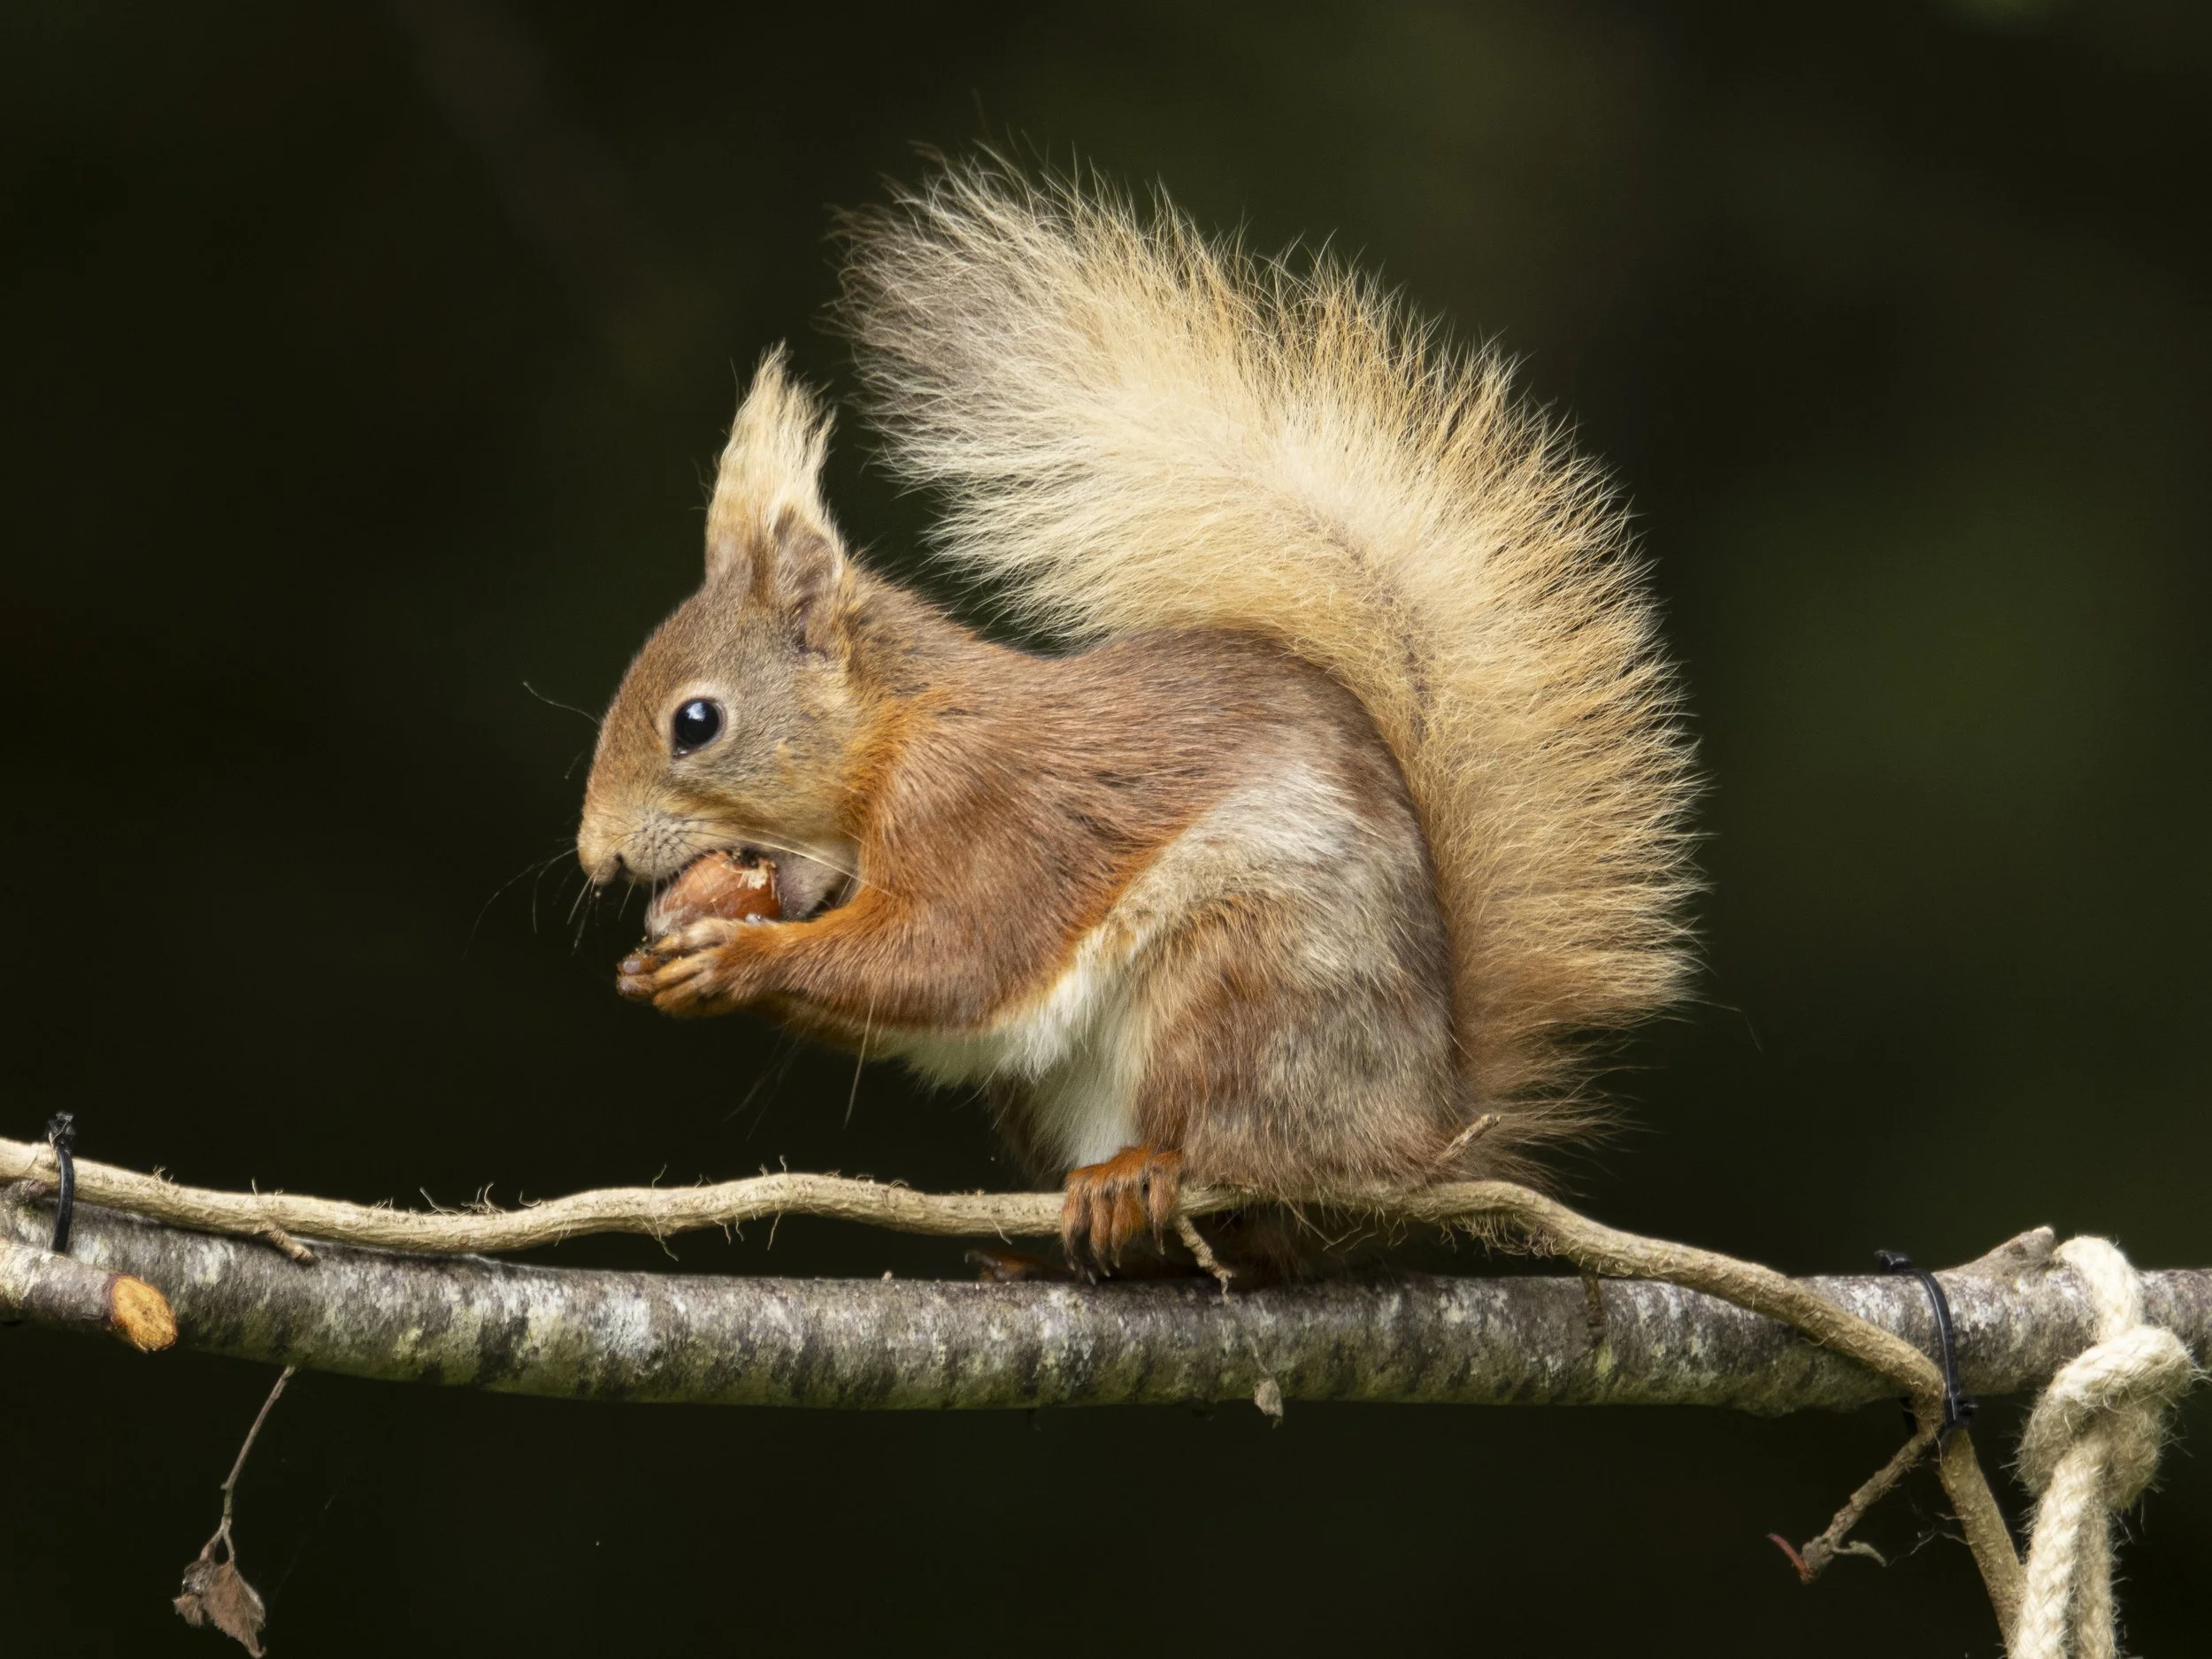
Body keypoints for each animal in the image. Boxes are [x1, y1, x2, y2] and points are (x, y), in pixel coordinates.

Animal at [576, 164, 1697, 1277]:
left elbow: (951, 956)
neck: (896, 728)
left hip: (1239, 980)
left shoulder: (984, 806)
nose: (595, 859)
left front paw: (732, 958)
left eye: (696, 722)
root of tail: (1423, 1137)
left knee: (1255, 1178)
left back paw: (1142, 1175)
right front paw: (654, 967)